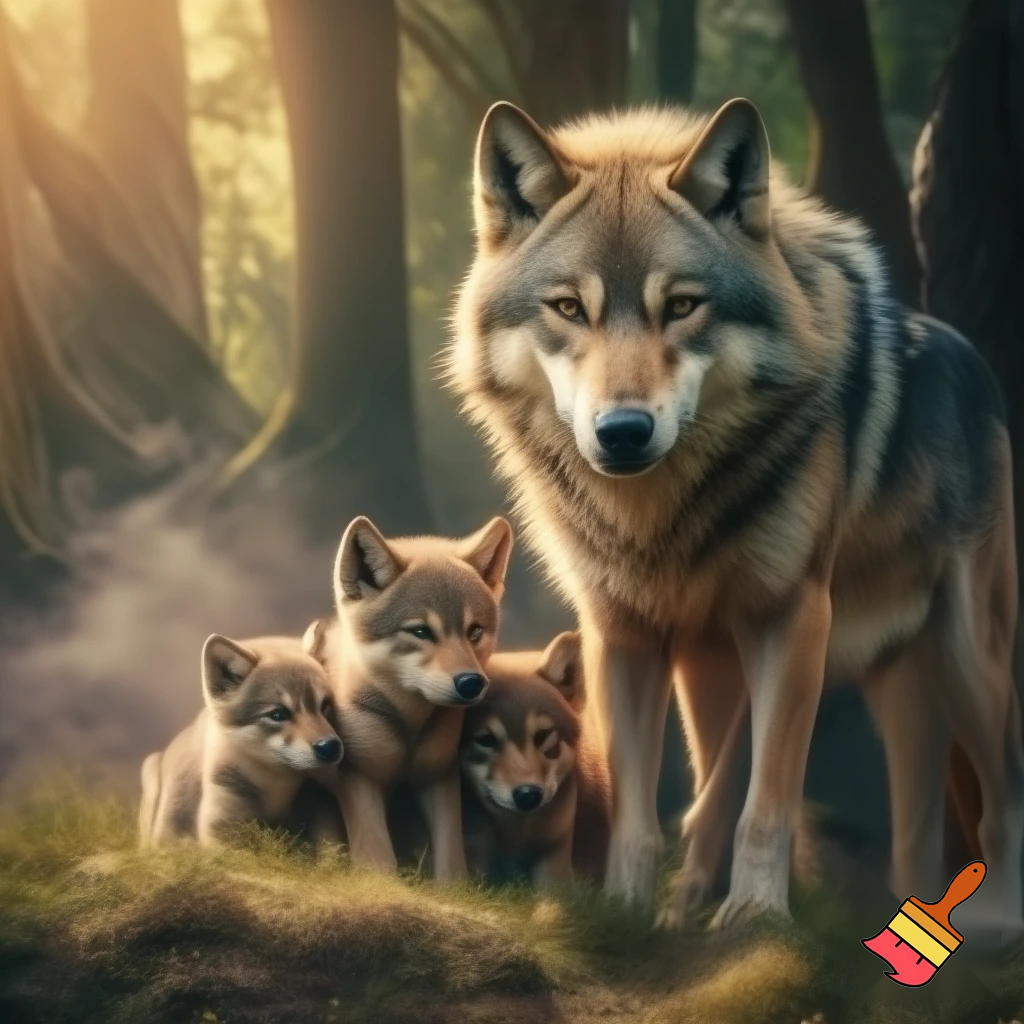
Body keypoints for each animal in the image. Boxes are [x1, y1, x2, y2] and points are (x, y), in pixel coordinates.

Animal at [314, 514, 513, 880]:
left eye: (475, 631)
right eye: (421, 631)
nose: (471, 683)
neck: (409, 725)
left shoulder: (438, 778)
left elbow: (451, 866)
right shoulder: (360, 780)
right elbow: (378, 863)